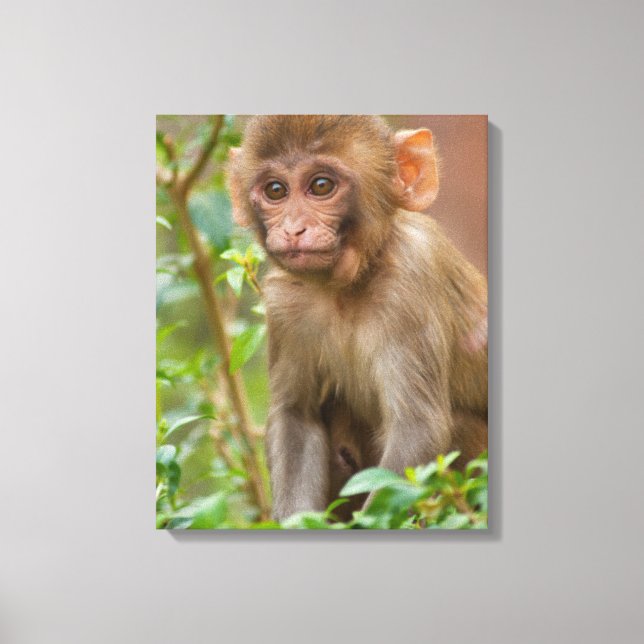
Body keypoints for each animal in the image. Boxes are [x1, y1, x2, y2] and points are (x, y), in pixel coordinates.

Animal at [227, 115, 487, 521]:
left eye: (321, 186)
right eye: (275, 191)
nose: (294, 228)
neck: (347, 286)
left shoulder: (411, 279)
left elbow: (418, 429)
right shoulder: (284, 302)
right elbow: (296, 418)